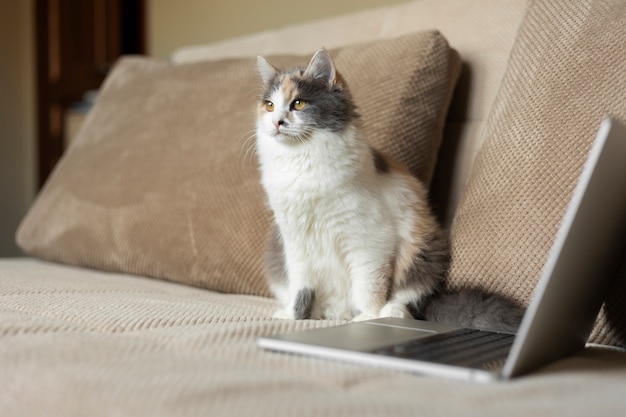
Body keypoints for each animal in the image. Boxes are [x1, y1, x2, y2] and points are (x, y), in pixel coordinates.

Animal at [254, 49, 520, 332]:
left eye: (298, 104)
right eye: (269, 105)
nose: (277, 122)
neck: (301, 161)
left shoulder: (370, 241)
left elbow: (368, 288)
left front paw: (368, 319)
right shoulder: (295, 243)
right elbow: (301, 288)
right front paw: (293, 316)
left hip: (423, 248)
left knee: (410, 299)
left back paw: (388, 314)